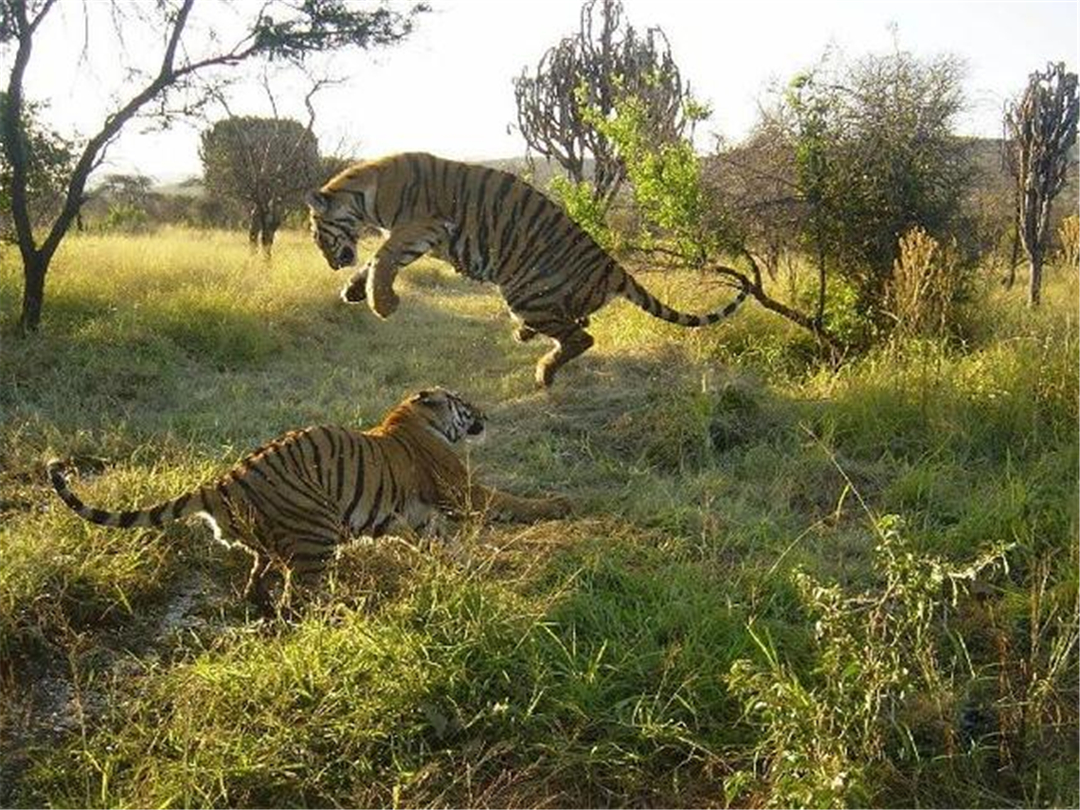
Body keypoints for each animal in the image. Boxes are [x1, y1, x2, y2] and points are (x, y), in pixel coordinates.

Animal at [48, 390, 574, 613]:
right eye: (465, 403)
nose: (483, 414)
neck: (412, 418)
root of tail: (223, 481)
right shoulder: (462, 492)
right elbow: (512, 501)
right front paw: (558, 505)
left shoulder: (418, 518)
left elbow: (444, 543)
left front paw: (465, 572)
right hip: (316, 533)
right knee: (297, 602)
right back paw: (343, 615)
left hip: (274, 540)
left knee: (261, 579)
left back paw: (260, 603)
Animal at [302, 154, 743, 390]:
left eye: (316, 236)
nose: (331, 263)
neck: (363, 196)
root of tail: (611, 266)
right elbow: (375, 261)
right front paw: (354, 291)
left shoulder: (421, 226)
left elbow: (382, 256)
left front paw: (382, 304)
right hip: (540, 296)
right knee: (576, 323)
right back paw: (526, 336)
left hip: (524, 291)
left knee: (581, 336)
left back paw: (544, 373)